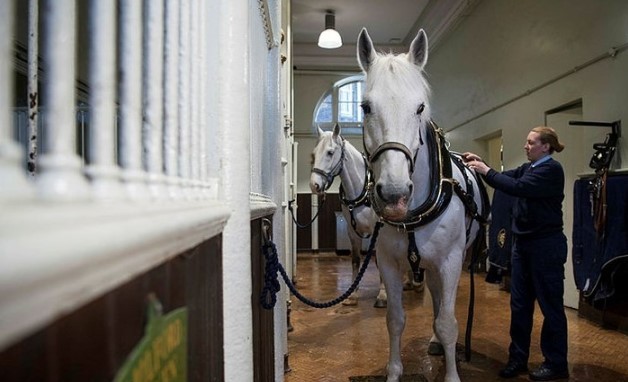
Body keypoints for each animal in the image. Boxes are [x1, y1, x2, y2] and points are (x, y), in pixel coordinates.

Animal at [310, 124, 388, 308]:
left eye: (330, 152)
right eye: (314, 153)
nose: (314, 185)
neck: (363, 189)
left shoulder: (378, 230)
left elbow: (379, 260)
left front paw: (382, 295)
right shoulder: (352, 231)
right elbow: (355, 260)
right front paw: (353, 294)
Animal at [358, 27, 486, 382]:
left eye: (419, 108)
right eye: (365, 107)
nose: (394, 195)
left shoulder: (452, 260)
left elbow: (449, 322)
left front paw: (452, 375)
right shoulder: (388, 262)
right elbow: (395, 320)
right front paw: (393, 373)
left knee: (443, 306)